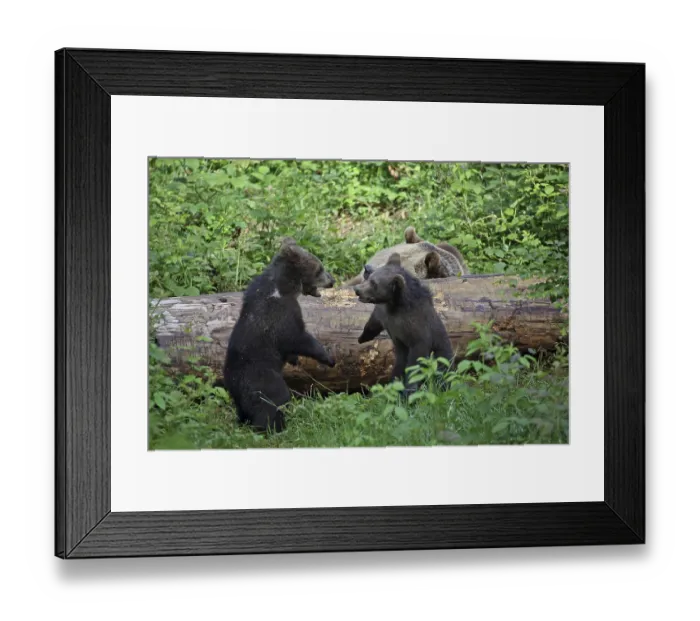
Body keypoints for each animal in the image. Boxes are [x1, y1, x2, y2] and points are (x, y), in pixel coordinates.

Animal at [222, 238, 336, 433]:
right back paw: (274, 427)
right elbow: (298, 337)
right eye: (319, 268)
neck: (282, 288)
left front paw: (294, 359)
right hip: (262, 378)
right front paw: (328, 357)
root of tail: (234, 382)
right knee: (274, 401)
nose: (332, 280)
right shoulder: (281, 314)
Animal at [353, 252, 453, 391]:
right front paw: (362, 338)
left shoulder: (417, 330)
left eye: (374, 284)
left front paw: (409, 388)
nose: (357, 289)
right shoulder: (385, 315)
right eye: (371, 278)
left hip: (442, 355)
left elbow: (416, 359)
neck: (394, 306)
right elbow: (373, 323)